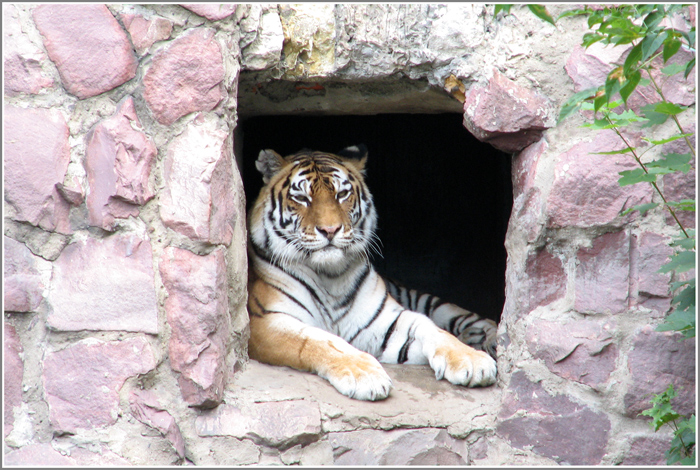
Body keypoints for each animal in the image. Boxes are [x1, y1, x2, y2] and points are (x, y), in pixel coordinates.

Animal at [246, 144, 498, 400]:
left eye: (341, 194)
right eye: (301, 198)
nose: (330, 230)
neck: (329, 276)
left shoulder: (384, 320)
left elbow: (431, 327)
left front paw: (471, 359)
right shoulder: (266, 322)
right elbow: (320, 341)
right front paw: (364, 374)